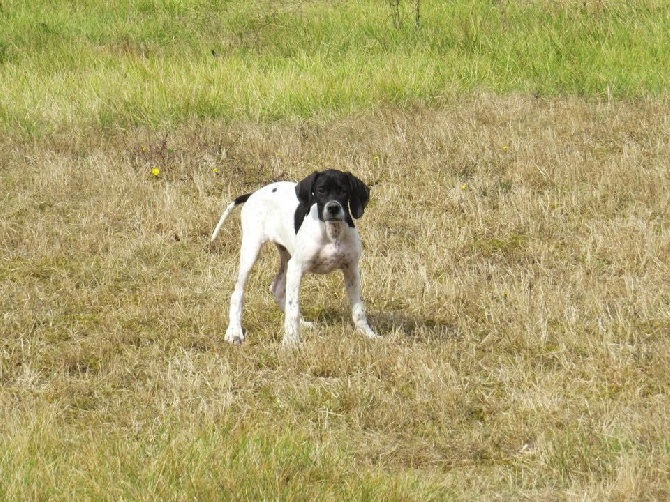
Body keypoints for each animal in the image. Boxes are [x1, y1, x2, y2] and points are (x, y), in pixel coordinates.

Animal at [211, 169, 378, 346]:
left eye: (343, 190)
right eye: (321, 190)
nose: (333, 208)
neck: (332, 233)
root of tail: (254, 194)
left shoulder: (351, 269)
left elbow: (359, 308)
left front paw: (367, 334)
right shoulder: (297, 269)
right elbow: (293, 309)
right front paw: (291, 342)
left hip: (286, 257)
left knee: (277, 288)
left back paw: (303, 323)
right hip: (251, 251)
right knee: (238, 293)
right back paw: (234, 332)